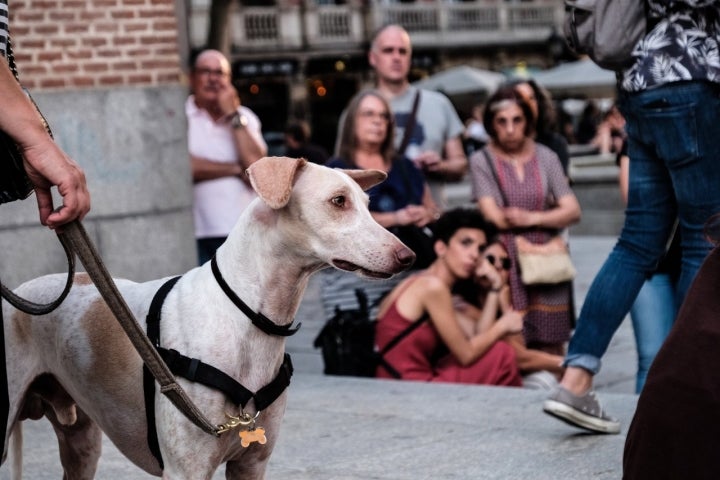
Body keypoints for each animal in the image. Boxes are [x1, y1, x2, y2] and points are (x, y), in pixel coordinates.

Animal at [1, 157, 416, 476]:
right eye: (338, 201)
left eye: (366, 203)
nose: (408, 256)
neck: (245, 316)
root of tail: (21, 292)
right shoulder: (187, 469)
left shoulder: (251, 463)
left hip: (82, 441)